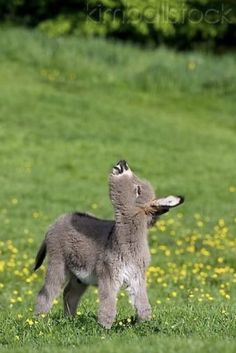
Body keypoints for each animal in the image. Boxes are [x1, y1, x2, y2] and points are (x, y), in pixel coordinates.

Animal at [33, 160, 184, 328]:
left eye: (138, 190)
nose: (123, 162)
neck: (127, 243)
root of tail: (56, 222)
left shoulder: (137, 277)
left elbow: (143, 304)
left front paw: (145, 325)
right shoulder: (108, 276)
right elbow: (108, 304)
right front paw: (104, 328)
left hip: (79, 276)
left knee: (69, 294)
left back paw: (69, 320)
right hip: (58, 262)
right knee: (46, 293)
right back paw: (37, 321)